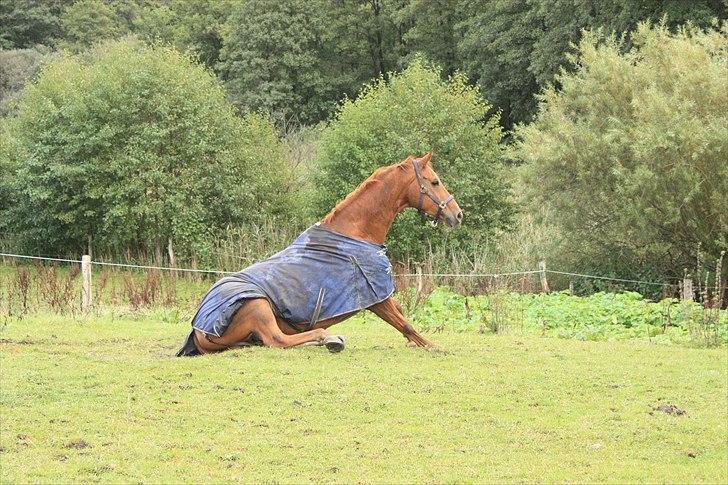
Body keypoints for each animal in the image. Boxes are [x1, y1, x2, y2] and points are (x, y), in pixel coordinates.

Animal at [189, 153, 460, 354]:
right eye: (434, 182)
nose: (457, 215)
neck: (356, 235)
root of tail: (198, 329)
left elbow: (402, 316)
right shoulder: (376, 297)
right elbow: (404, 323)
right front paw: (433, 346)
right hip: (259, 306)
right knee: (277, 340)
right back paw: (328, 338)